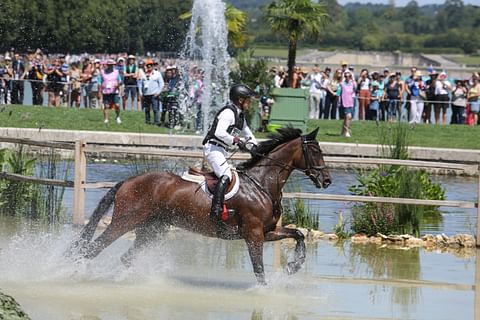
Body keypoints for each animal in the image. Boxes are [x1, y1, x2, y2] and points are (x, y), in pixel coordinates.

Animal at [70, 126, 330, 284]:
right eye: (315, 151)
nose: (327, 180)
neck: (262, 184)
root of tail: (128, 181)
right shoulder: (254, 235)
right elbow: (259, 270)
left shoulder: (267, 232)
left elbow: (298, 234)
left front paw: (293, 266)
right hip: (125, 222)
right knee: (92, 249)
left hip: (153, 228)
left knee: (125, 257)